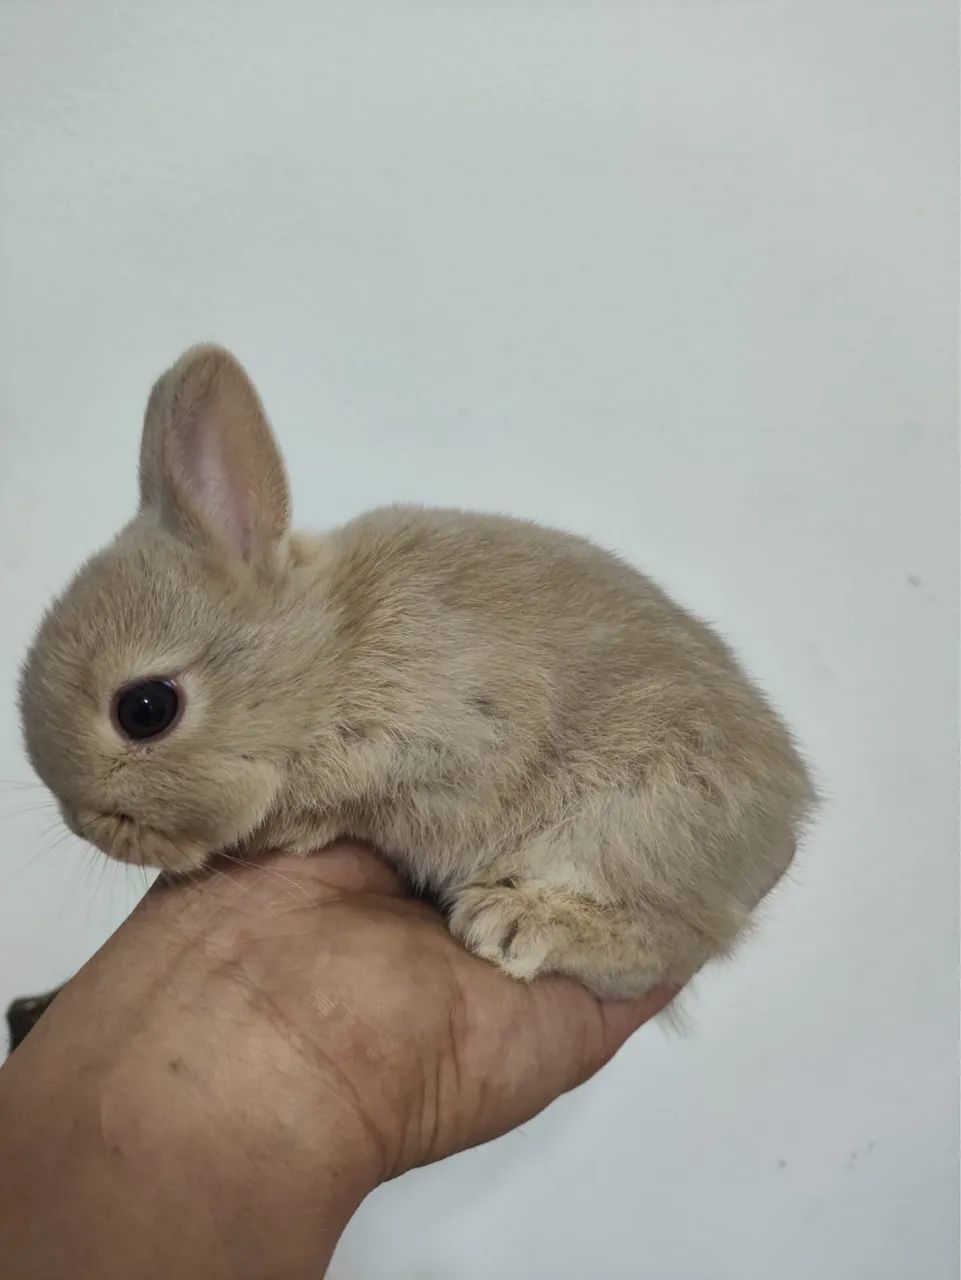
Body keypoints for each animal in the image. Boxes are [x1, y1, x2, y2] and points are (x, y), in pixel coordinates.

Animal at [19, 345, 815, 999]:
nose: (93, 829)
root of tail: (789, 813)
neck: (330, 656)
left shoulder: (449, 739)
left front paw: (293, 829)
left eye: (145, 709)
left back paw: (513, 922)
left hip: (635, 821)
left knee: (666, 942)